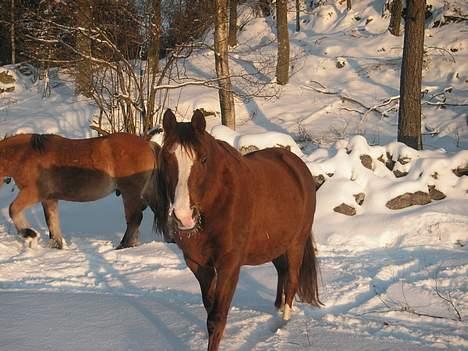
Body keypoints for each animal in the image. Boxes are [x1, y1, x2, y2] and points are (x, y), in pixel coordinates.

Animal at [0, 133, 168, 250]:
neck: (26, 155)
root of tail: (148, 144)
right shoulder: (49, 199)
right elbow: (52, 223)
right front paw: (56, 247)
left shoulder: (33, 193)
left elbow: (12, 209)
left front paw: (30, 235)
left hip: (130, 194)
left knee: (135, 219)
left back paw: (123, 246)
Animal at [155, 110, 320, 351]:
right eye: (167, 158)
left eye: (203, 158)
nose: (184, 216)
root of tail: (298, 167)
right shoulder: (198, 264)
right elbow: (210, 310)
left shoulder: (229, 265)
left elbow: (216, 317)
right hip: (274, 245)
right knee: (282, 272)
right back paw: (276, 310)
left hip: (296, 244)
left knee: (292, 280)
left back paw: (283, 323)